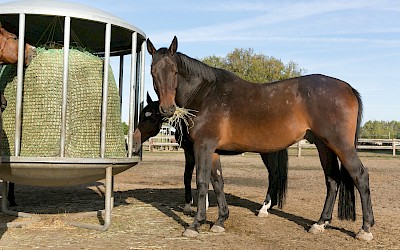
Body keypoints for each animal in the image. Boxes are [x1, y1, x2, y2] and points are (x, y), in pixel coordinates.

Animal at [134, 94, 288, 217]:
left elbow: (193, 176)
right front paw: (199, 205)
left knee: (273, 176)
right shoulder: (193, 152)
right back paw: (270, 205)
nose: (135, 141)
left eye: (152, 118)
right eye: (142, 114)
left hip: (269, 154)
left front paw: (193, 206)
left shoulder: (193, 152)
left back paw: (264, 208)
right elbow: (194, 176)